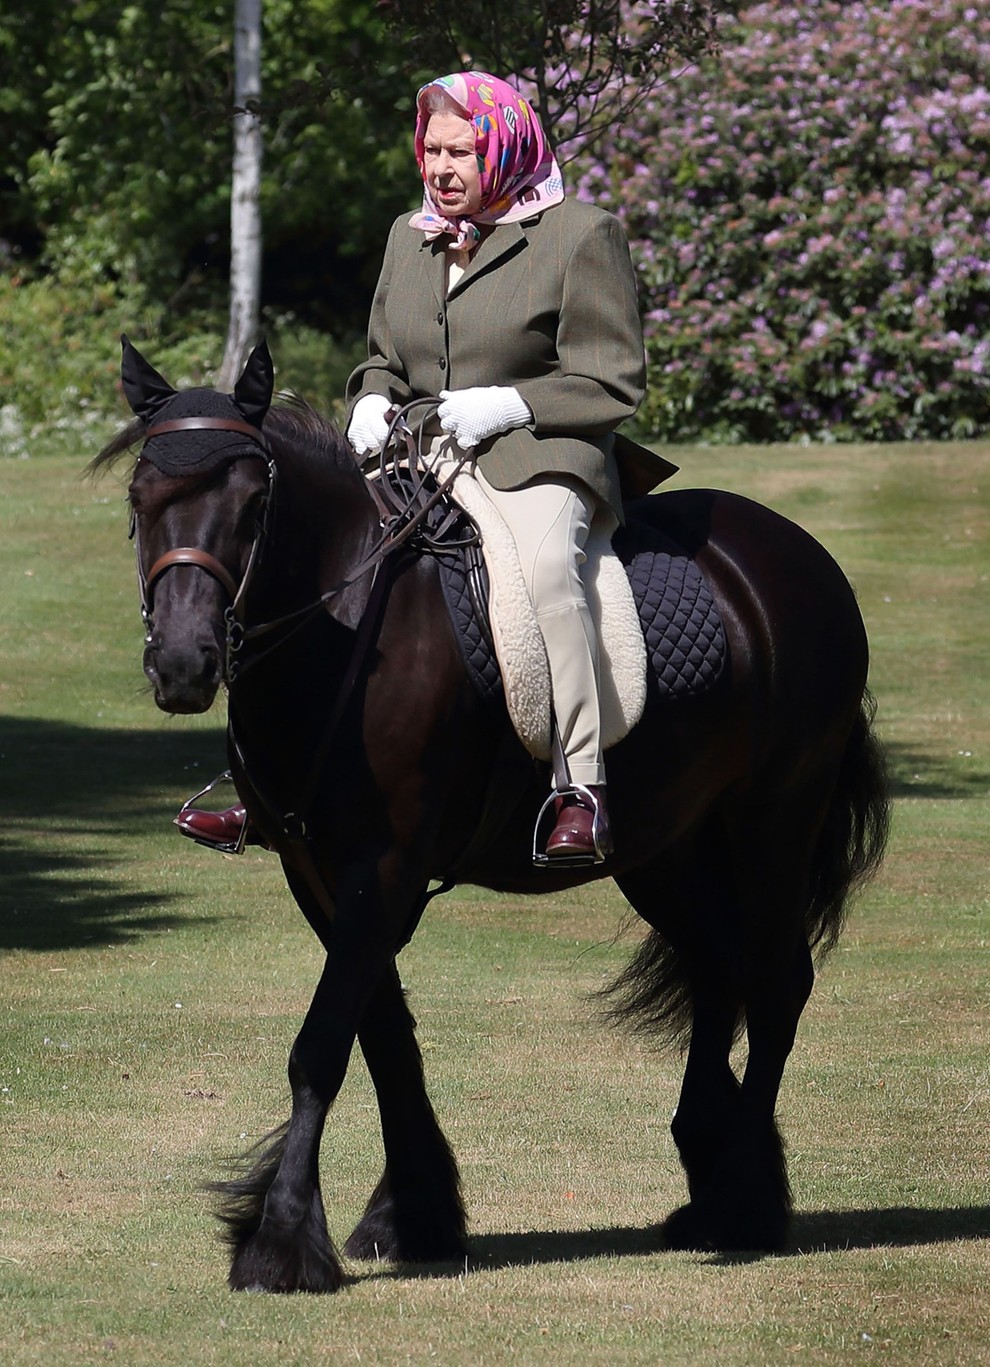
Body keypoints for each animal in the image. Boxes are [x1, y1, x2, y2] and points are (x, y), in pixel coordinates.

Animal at [95, 339, 891, 1290]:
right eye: (141, 500)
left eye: (254, 503)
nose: (183, 663)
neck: (346, 625)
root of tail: (794, 556)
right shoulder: (318, 871)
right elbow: (383, 1036)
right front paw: (412, 1214)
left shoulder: (384, 866)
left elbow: (322, 1045)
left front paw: (281, 1240)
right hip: (666, 847)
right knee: (717, 967)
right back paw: (710, 1172)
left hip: (772, 819)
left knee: (775, 984)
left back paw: (743, 1200)